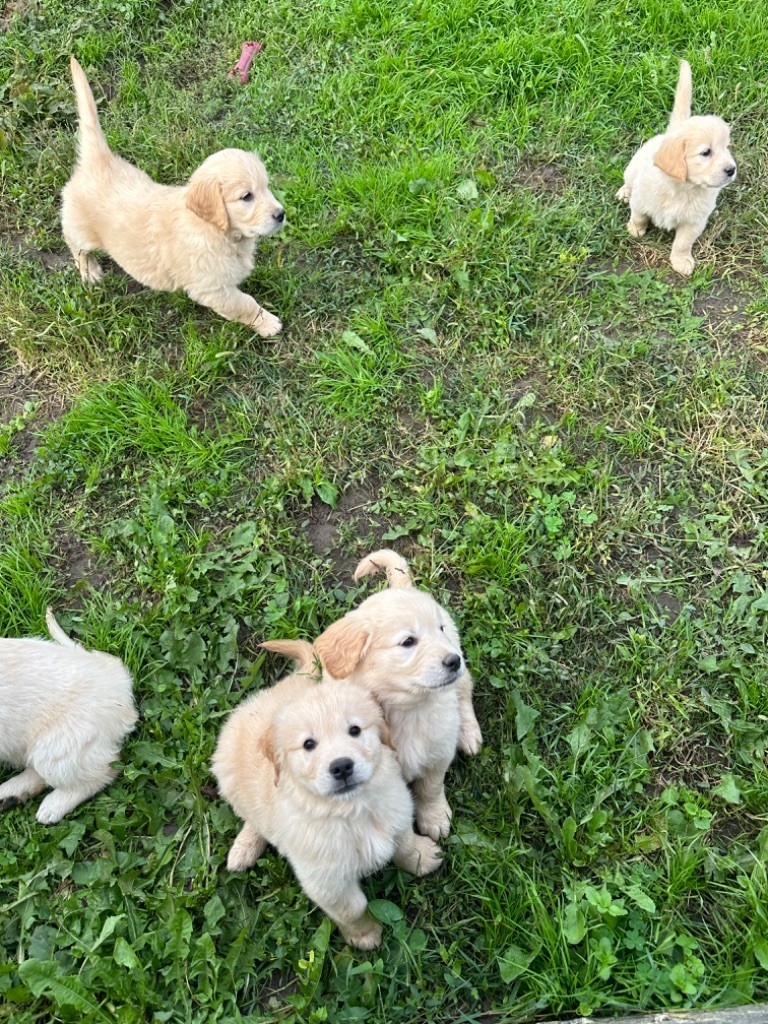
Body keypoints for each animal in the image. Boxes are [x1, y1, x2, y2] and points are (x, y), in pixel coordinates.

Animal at [61, 57, 286, 335]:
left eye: (267, 187)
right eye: (246, 196)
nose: (281, 214)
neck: (216, 230)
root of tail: (99, 160)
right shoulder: (212, 287)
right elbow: (244, 304)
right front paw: (267, 323)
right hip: (81, 229)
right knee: (75, 244)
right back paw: (89, 270)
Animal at [210, 638, 442, 950]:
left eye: (355, 730)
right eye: (309, 744)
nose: (341, 766)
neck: (352, 809)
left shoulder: (396, 814)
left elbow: (404, 844)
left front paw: (422, 857)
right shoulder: (326, 880)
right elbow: (352, 909)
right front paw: (364, 935)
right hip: (228, 778)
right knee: (252, 818)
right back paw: (243, 849)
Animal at [313, 548, 481, 843]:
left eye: (439, 629)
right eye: (408, 642)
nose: (454, 661)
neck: (406, 709)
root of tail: (399, 587)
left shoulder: (440, 751)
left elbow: (431, 787)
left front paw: (435, 817)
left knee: (464, 688)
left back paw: (469, 732)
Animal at [618, 58, 737, 276]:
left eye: (726, 148)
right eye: (706, 152)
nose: (731, 169)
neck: (682, 188)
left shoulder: (695, 222)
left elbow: (683, 243)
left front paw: (681, 261)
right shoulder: (640, 201)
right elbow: (639, 216)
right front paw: (635, 229)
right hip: (632, 169)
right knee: (629, 182)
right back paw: (624, 192)